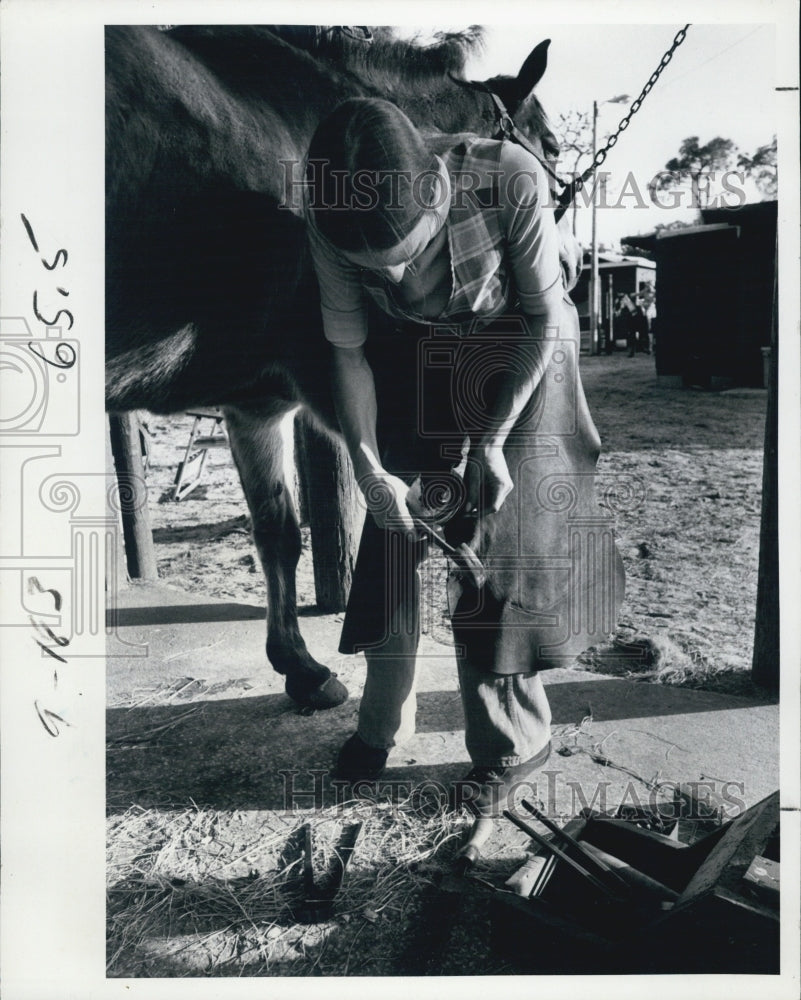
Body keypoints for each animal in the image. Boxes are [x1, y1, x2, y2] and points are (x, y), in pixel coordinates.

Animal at [104, 23, 608, 712]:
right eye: (552, 143)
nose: (574, 261)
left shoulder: (255, 403)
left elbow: (278, 532)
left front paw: (299, 666)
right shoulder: (356, 387)